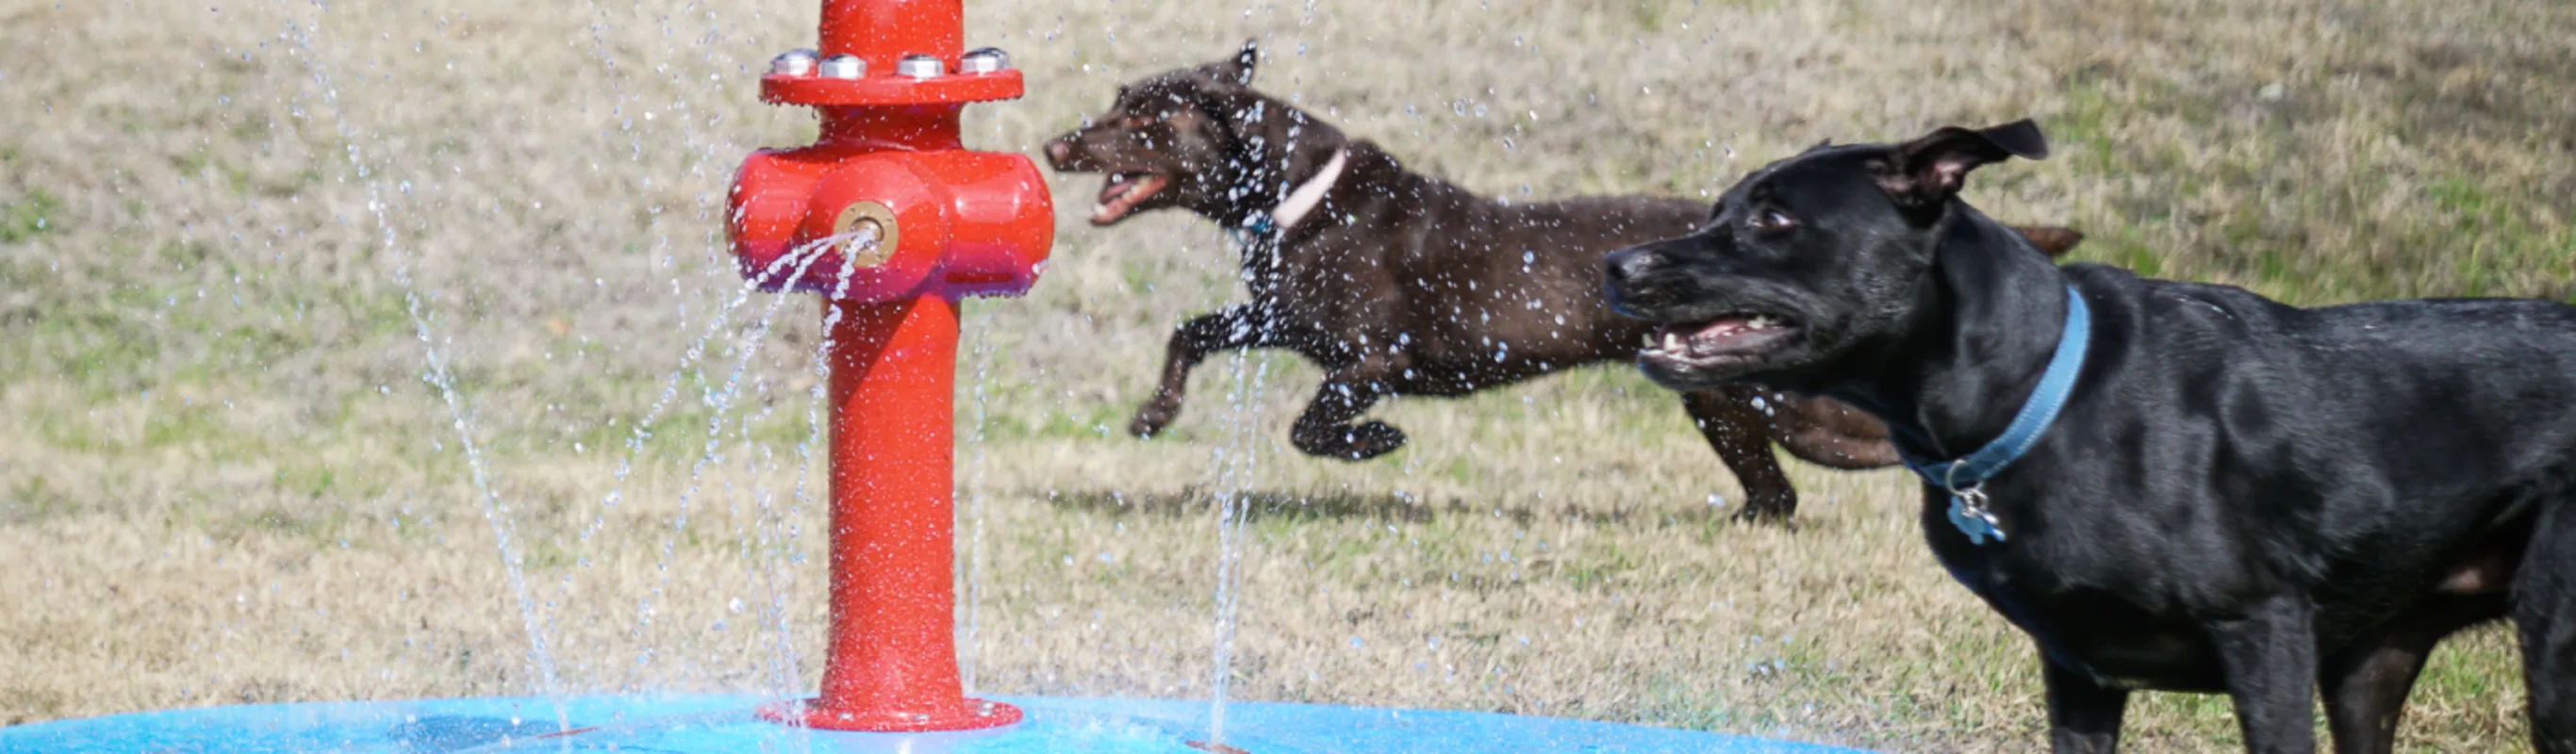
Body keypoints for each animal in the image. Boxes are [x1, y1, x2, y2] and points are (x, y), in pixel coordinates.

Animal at [1046, 41, 2091, 516]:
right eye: (1117, 101)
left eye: (1145, 120)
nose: (1057, 144)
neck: (1301, 197)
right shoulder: (1281, 322)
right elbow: (1190, 331)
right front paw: (1152, 415)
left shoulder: (1374, 355)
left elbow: (1315, 421)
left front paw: (1376, 441)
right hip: (1726, 406)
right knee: (1779, 496)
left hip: (1784, 403)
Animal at [1607, 119, 2576, 751]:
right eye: (1720, 207)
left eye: (1774, 218)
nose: (1619, 265)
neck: (2043, 394)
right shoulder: (2078, 671)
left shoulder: (2263, 634)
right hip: (2374, 661)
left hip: (2548, 643)